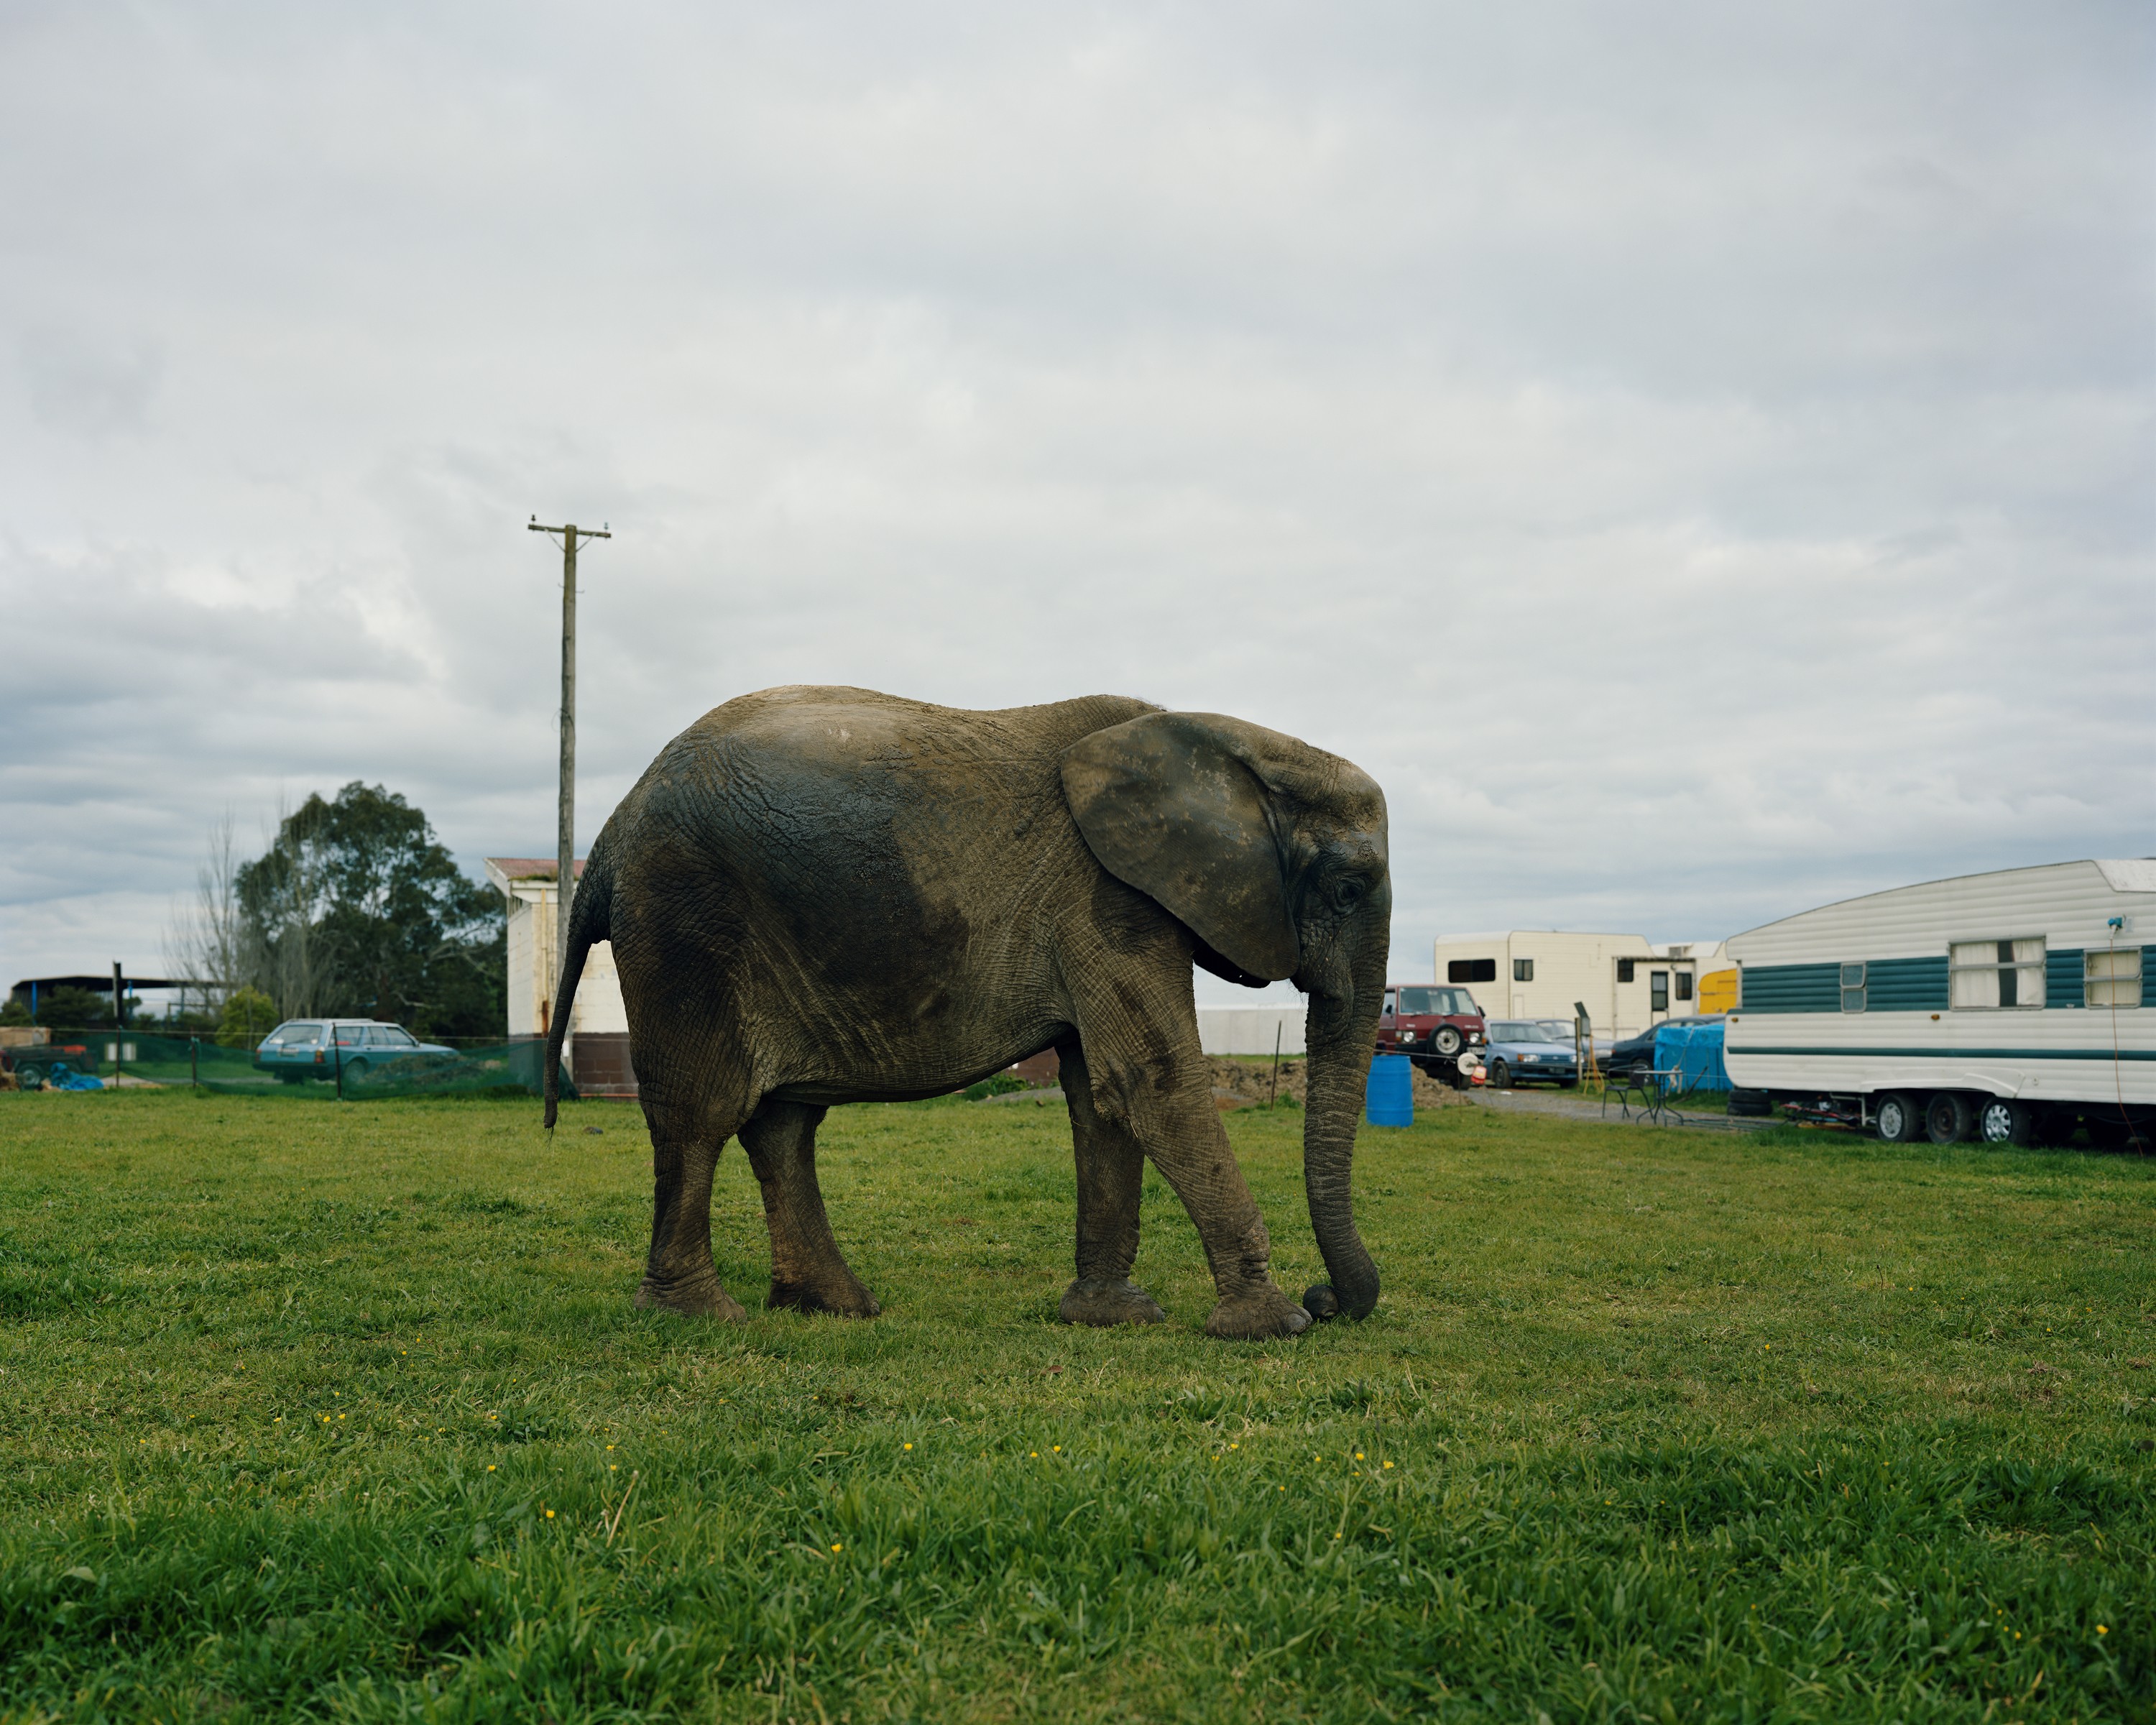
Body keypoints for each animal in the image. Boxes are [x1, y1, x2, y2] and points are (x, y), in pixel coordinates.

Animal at [542, 686, 1389, 1340]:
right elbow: (1151, 1080)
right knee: (703, 1113)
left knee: (783, 1124)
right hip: (683, 915)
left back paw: (834, 1308)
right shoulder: (1107, 893)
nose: (1328, 1300)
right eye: (1349, 888)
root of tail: (612, 832)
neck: (1223, 742)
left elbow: (1099, 1094)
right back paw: (699, 1317)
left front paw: (1110, 1318)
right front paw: (1274, 1325)